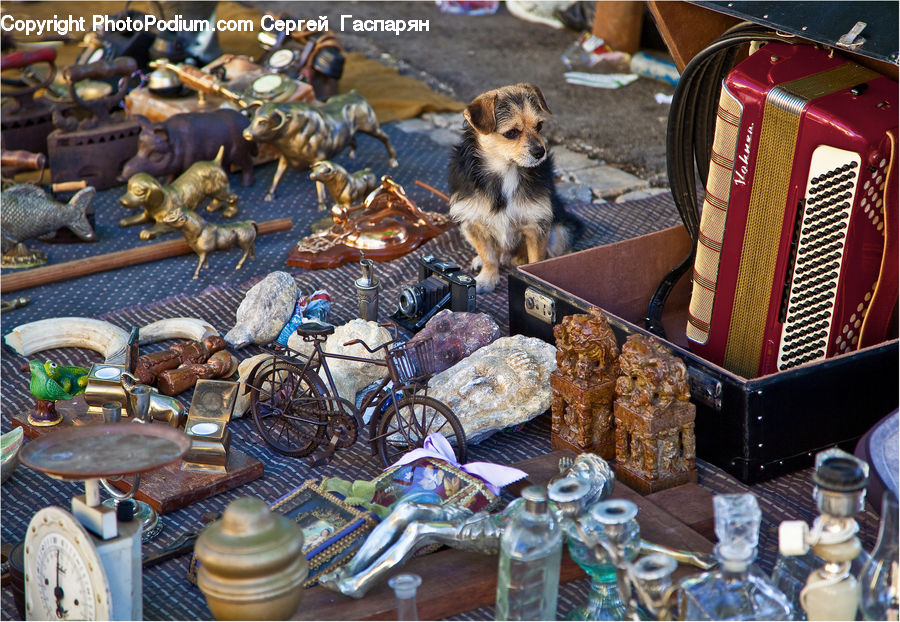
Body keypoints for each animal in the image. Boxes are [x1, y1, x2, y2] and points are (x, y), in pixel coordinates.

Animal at [446, 83, 580, 294]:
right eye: (511, 133)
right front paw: (487, 278)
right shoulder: (473, 222)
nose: (540, 152)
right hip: (464, 227)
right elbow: (488, 256)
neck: (506, 171)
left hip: (561, 230)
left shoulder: (536, 224)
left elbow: (536, 259)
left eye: (539, 126)